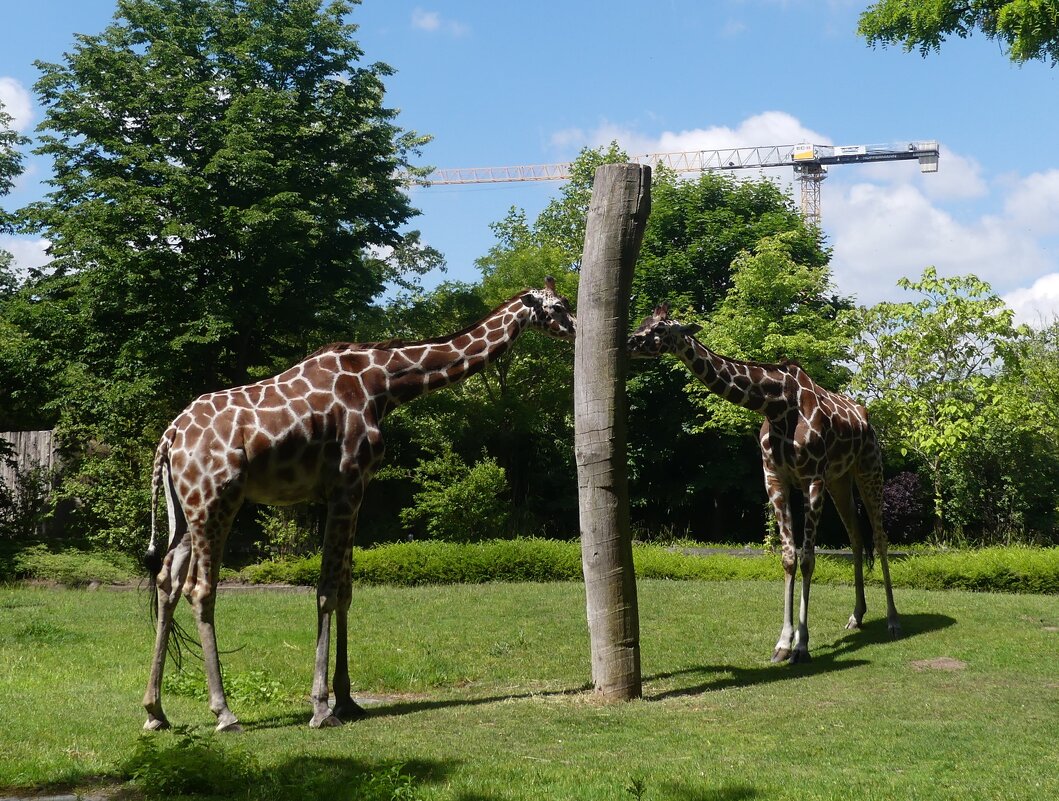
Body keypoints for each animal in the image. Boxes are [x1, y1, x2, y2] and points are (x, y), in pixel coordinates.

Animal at [141, 279, 576, 733]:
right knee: (200, 589)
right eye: (559, 307)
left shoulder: (356, 490)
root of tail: (170, 438)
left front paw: (347, 700)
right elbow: (327, 592)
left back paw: (155, 712)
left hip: (186, 510)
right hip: (215, 500)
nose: (577, 330)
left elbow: (347, 591)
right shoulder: (345, 485)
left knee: (168, 582)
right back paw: (225, 714)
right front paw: (320, 708)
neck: (383, 383)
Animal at [626, 303, 902, 661]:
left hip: (869, 469)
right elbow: (788, 557)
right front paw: (783, 643)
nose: (629, 342)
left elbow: (808, 559)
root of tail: (865, 417)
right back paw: (856, 616)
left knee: (880, 539)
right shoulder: (775, 479)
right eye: (643, 321)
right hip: (840, 480)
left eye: (659, 329)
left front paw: (802, 645)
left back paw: (893, 620)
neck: (777, 404)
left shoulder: (811, 478)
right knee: (856, 537)